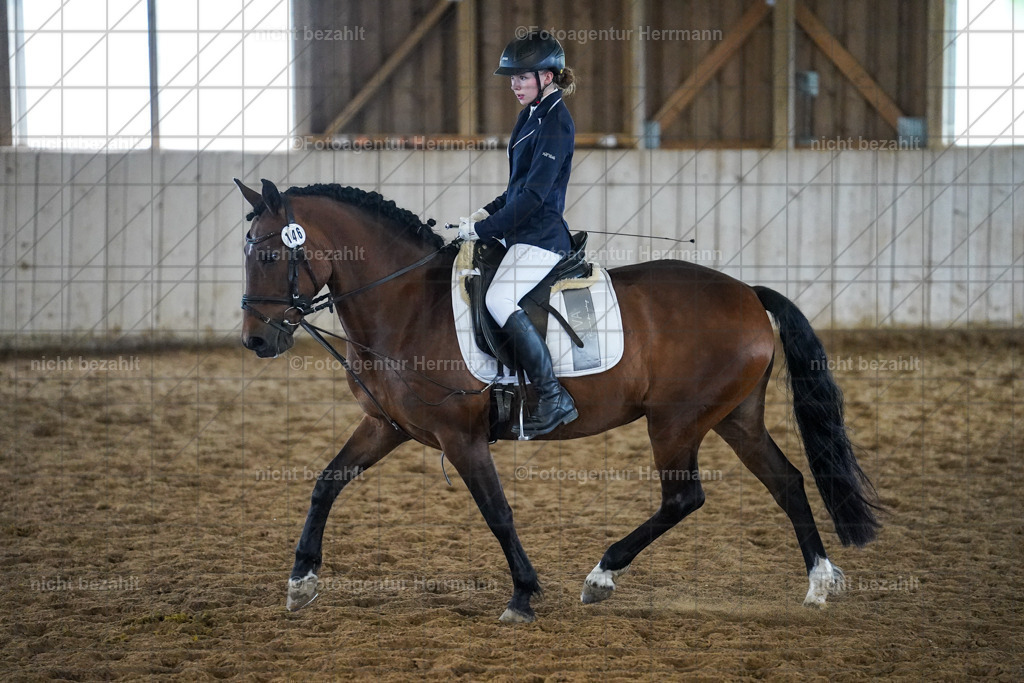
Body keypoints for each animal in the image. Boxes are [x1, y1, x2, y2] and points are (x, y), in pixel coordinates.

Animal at [236, 178, 879, 623]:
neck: (407, 303)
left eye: (267, 255)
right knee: (787, 481)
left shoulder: (461, 437)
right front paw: (300, 582)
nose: (256, 341)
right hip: (734, 418)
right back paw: (819, 583)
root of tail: (747, 292)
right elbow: (327, 482)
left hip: (677, 421)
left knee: (684, 497)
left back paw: (601, 576)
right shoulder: (386, 424)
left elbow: (497, 511)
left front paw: (522, 594)